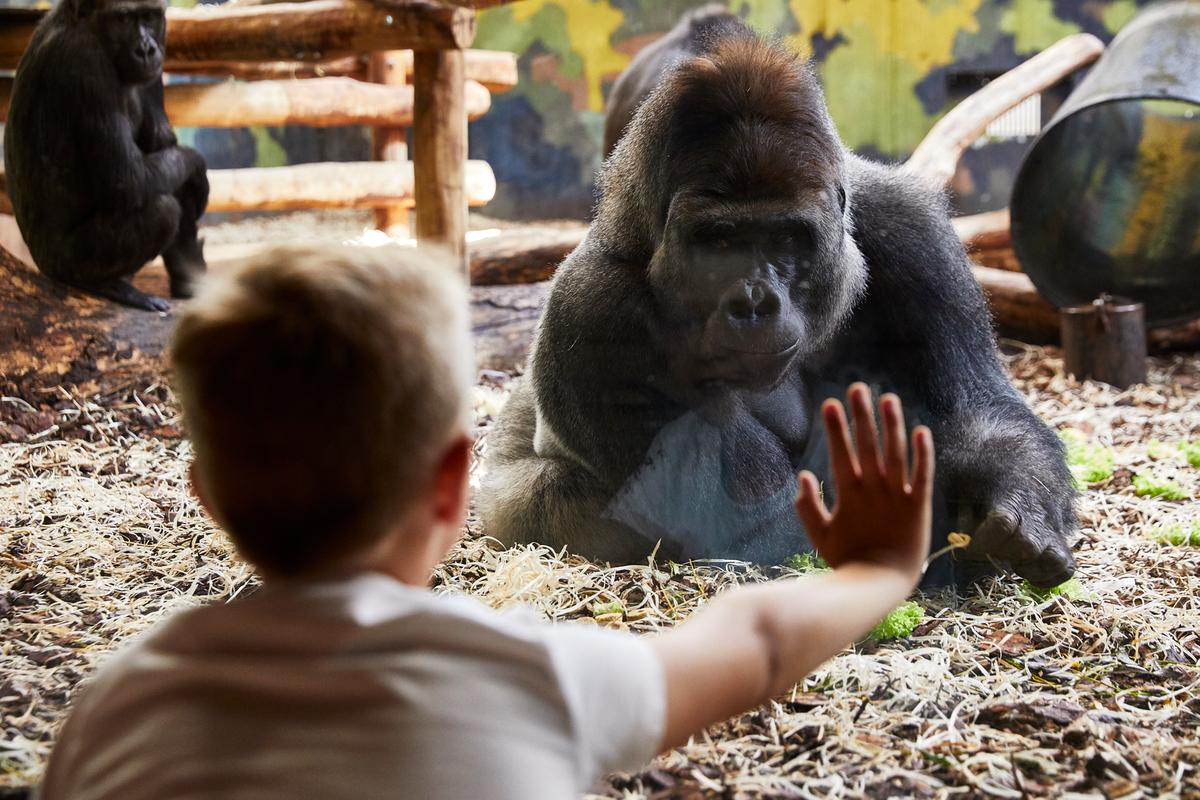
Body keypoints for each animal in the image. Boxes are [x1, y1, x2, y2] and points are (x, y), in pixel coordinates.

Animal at [5, 0, 208, 312]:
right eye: (123, 19)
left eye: (149, 16)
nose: (146, 49)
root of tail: (39, 263)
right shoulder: (87, 65)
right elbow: (129, 179)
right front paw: (197, 164)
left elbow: (163, 144)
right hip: (64, 263)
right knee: (161, 210)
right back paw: (105, 285)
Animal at [479, 26, 1077, 588]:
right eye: (718, 243)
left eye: (787, 239)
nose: (753, 303)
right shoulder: (593, 312)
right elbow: (775, 527)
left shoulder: (909, 225)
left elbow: (974, 408)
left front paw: (1014, 498)